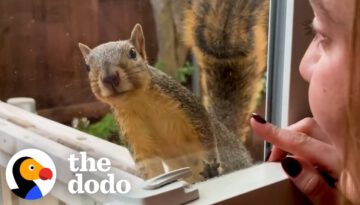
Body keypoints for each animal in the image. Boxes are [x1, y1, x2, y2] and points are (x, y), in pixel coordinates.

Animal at [77, 24, 252, 183]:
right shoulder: (133, 132)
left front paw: (210, 164)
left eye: (132, 53)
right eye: (87, 67)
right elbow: (149, 165)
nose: (109, 78)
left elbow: (206, 133)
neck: (136, 101)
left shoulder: (186, 104)